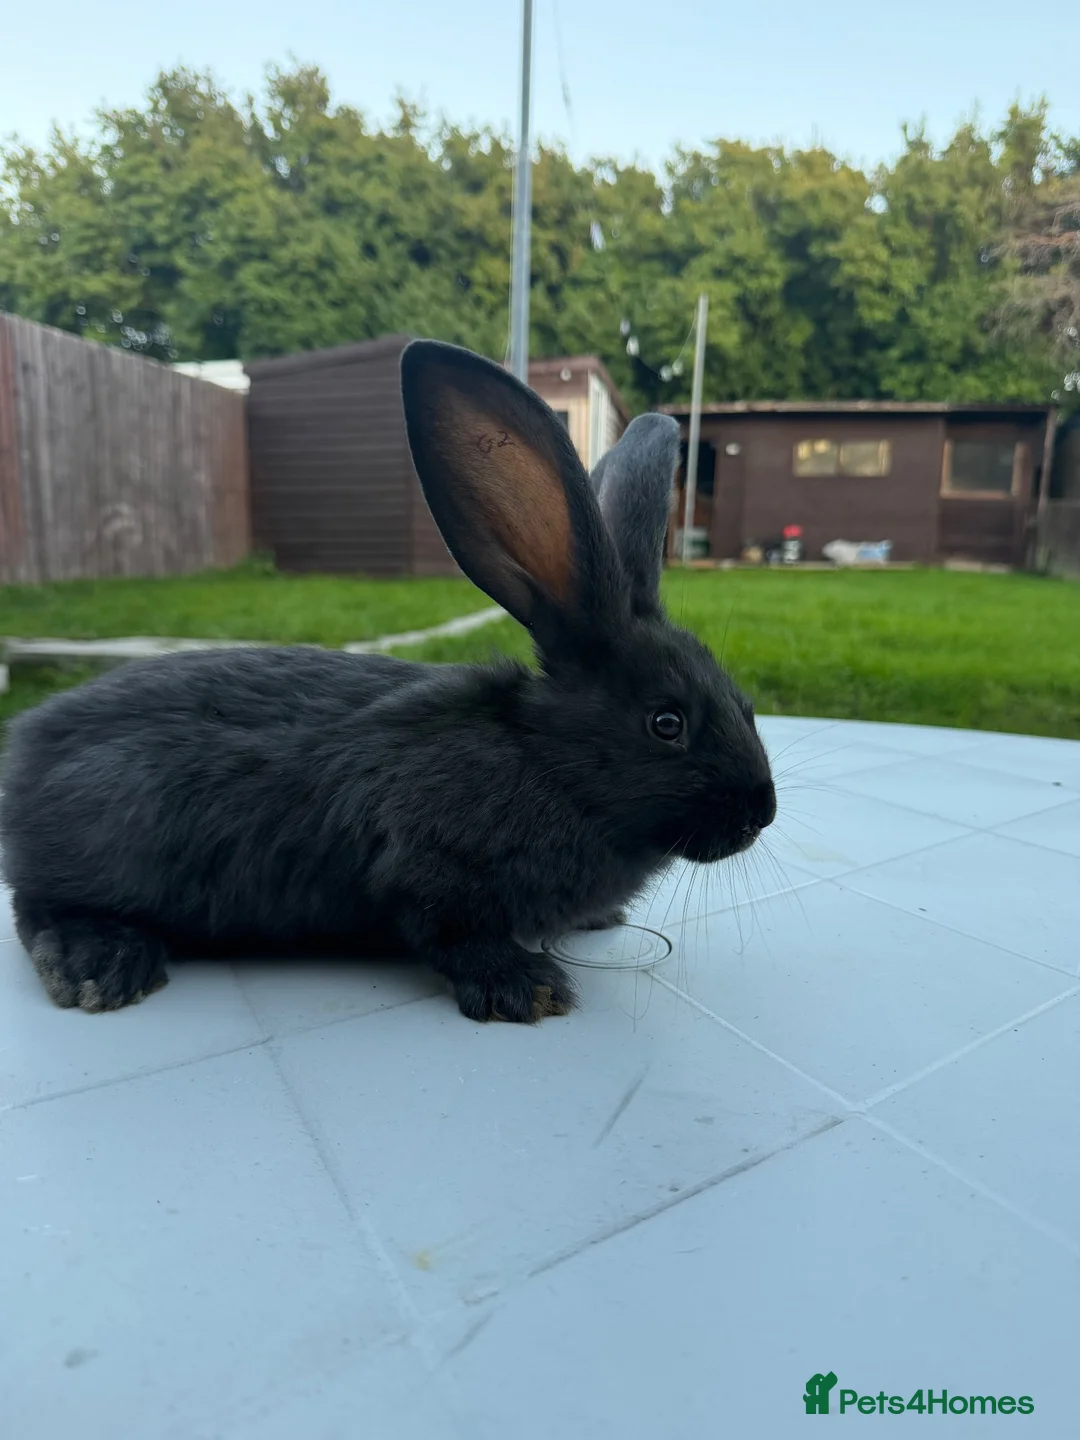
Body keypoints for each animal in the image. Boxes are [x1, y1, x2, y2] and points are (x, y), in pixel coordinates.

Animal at [0, 340, 776, 1024]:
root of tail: (25, 753)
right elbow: (450, 931)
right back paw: (100, 963)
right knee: (37, 905)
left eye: (745, 706)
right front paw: (526, 988)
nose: (760, 814)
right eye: (667, 723)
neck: (546, 760)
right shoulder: (425, 864)